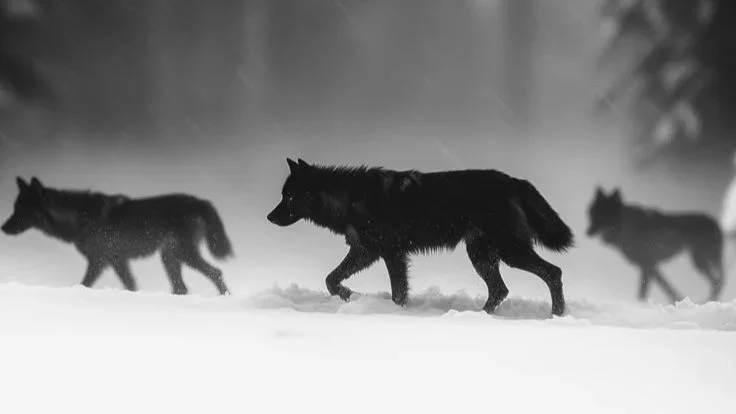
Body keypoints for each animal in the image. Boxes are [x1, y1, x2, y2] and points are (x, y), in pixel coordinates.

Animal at [2, 177, 233, 295]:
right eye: (14, 208)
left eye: (20, 211)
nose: (2, 228)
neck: (80, 218)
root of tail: (200, 201)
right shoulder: (117, 260)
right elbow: (131, 285)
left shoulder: (100, 261)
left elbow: (85, 284)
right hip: (169, 257)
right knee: (182, 287)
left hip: (182, 255)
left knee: (216, 272)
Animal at [267, 158, 574, 317]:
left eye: (289, 197)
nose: (269, 217)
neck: (350, 198)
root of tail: (514, 181)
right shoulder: (367, 251)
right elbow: (331, 279)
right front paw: (349, 295)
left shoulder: (387, 253)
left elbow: (395, 291)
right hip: (481, 255)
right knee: (500, 289)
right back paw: (478, 316)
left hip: (509, 251)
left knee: (553, 272)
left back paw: (556, 315)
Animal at [586, 186, 724, 303]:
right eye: (593, 214)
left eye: (603, 215)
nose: (587, 232)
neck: (625, 227)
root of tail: (715, 223)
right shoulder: (650, 267)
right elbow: (661, 288)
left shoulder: (649, 265)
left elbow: (659, 289)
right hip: (700, 262)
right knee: (718, 281)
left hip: (702, 261)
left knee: (718, 281)